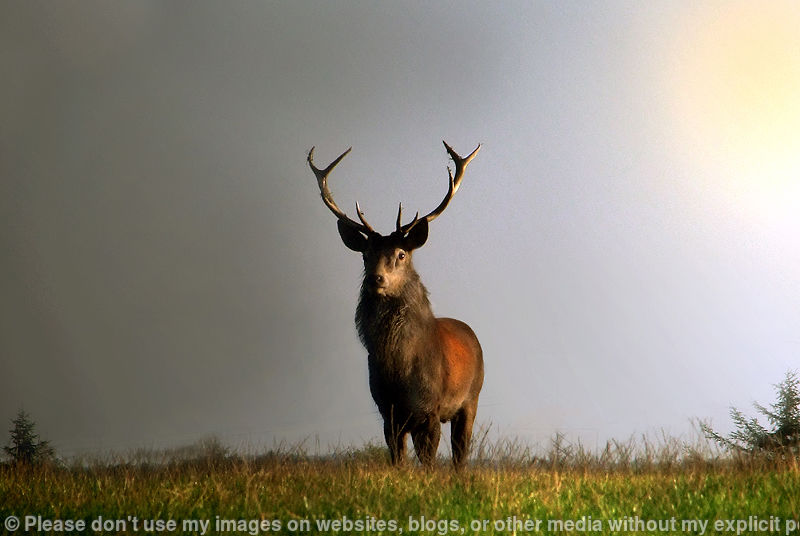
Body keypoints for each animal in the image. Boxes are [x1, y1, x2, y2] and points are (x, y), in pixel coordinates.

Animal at [307, 141, 484, 469]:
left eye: (401, 254)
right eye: (365, 255)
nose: (375, 278)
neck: (400, 371)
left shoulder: (430, 409)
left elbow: (429, 462)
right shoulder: (387, 411)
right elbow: (398, 460)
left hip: (471, 398)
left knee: (461, 453)